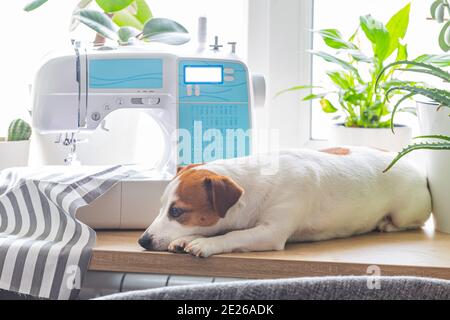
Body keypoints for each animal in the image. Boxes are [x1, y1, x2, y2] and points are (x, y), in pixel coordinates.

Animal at [138, 148, 432, 258]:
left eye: (177, 211)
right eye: (161, 207)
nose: (142, 241)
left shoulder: (270, 232)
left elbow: (233, 235)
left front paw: (205, 243)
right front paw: (186, 239)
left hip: (406, 212)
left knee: (409, 223)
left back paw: (386, 224)